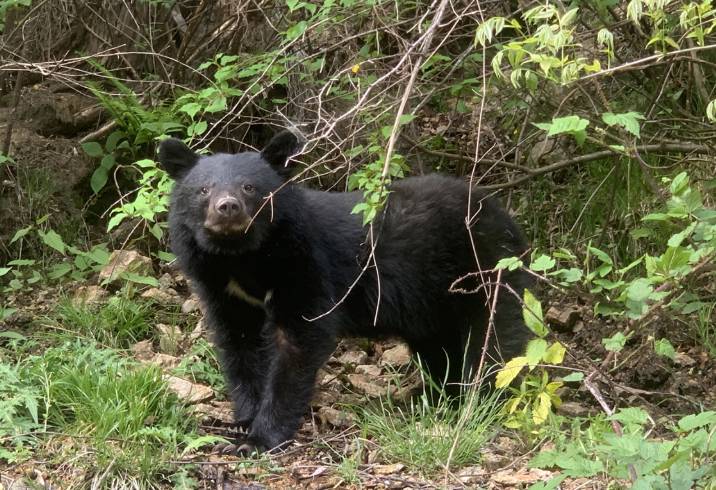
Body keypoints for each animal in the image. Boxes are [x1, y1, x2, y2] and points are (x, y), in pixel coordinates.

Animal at [158, 129, 532, 454]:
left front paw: (260, 439)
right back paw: (442, 399)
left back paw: (482, 404)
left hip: (485, 272)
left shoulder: (304, 264)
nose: (227, 208)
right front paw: (243, 420)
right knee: (441, 350)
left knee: (495, 341)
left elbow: (299, 341)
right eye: (203, 189)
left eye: (250, 187)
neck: (243, 257)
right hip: (433, 304)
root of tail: (508, 219)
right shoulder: (222, 288)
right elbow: (240, 345)